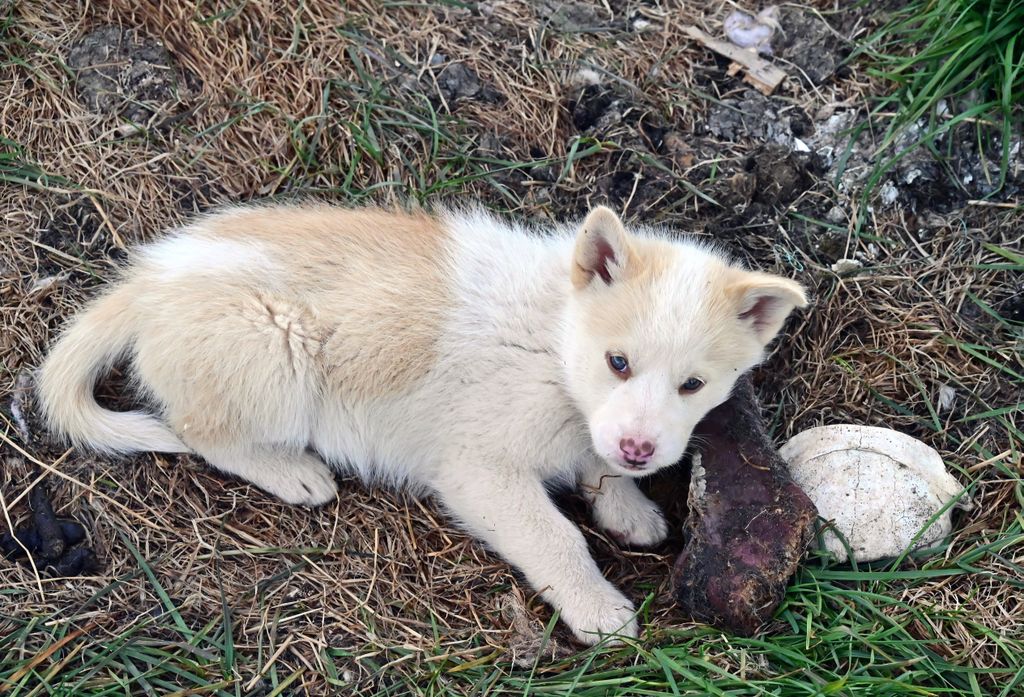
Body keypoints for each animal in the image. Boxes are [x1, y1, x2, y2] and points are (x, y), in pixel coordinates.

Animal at [36, 203, 806, 642]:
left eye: (693, 385)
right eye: (618, 361)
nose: (643, 449)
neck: (553, 341)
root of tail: (147, 282)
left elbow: (596, 460)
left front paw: (627, 502)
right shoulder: (478, 470)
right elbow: (554, 537)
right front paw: (597, 608)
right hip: (277, 353)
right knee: (201, 429)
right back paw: (291, 471)